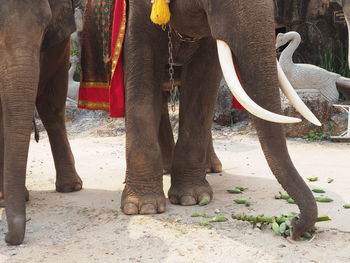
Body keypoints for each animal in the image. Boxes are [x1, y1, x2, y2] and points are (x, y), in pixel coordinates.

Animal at [121, 0, 322, 240]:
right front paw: (144, 208)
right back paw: (165, 171)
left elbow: (203, 78)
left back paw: (208, 168)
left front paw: (193, 199)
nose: (294, 223)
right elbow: (142, 74)